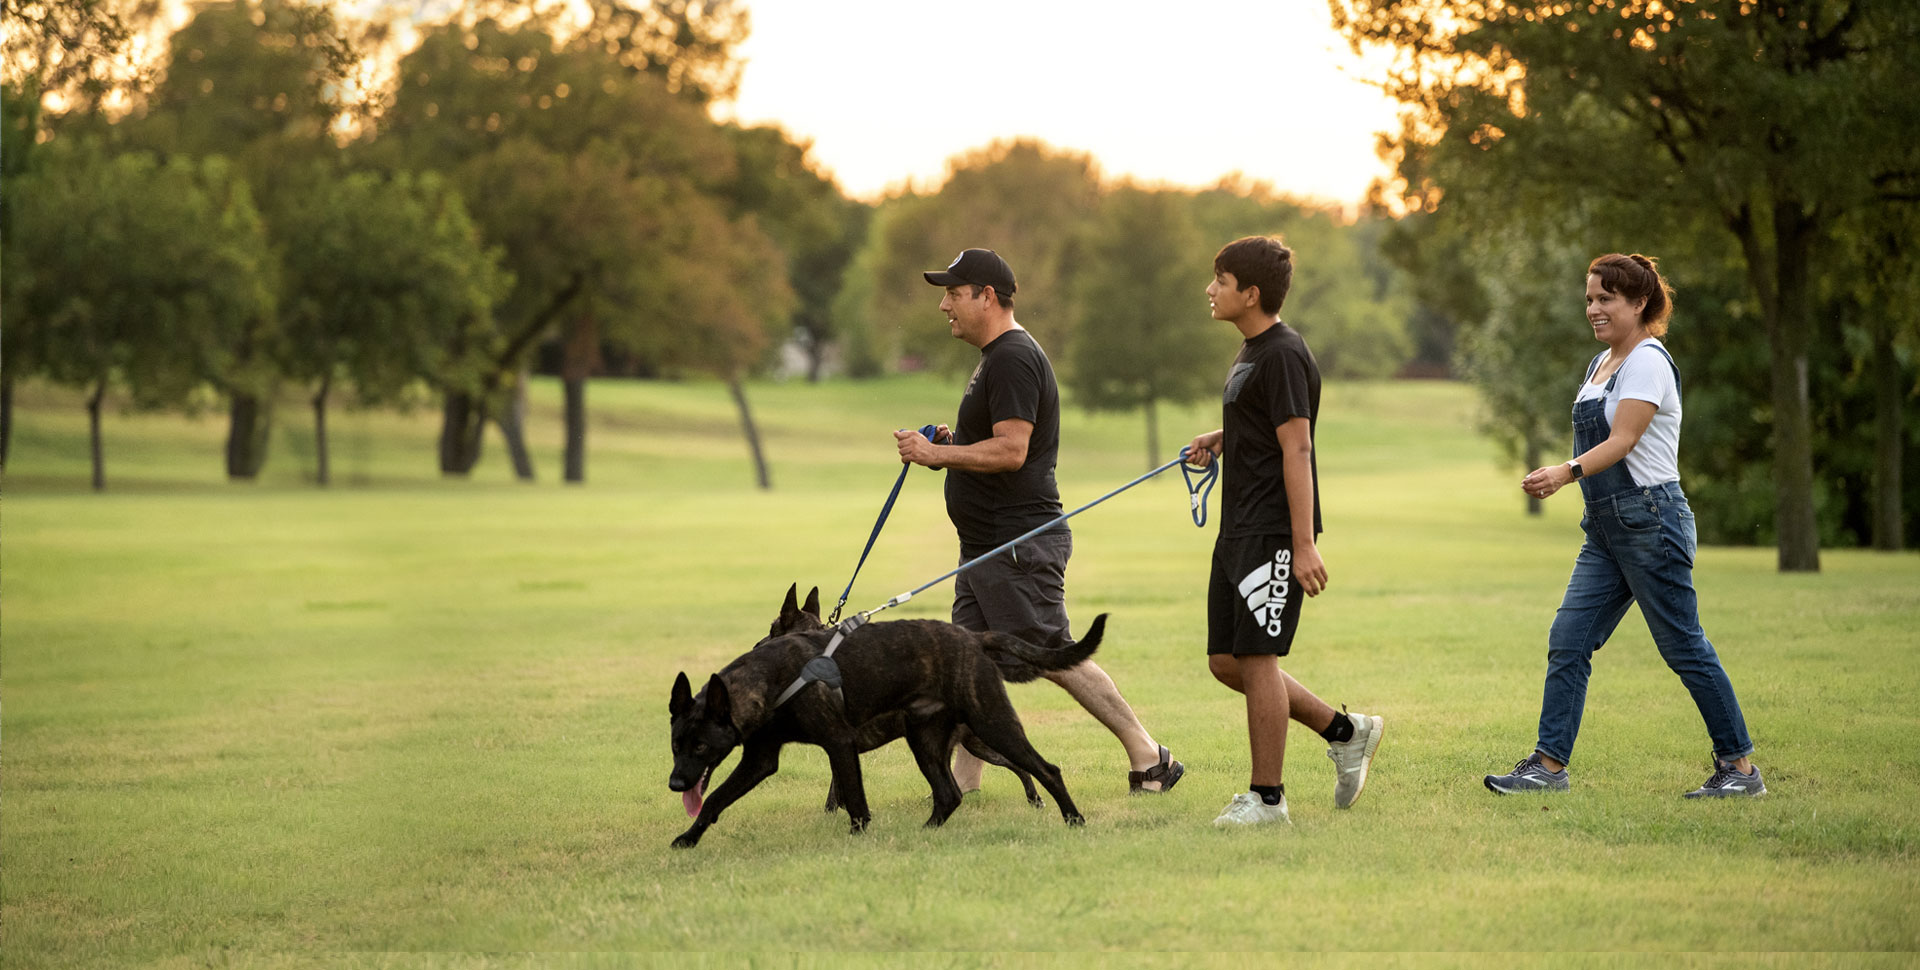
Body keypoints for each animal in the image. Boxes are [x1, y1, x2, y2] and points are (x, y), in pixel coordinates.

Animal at [668, 587, 1105, 845]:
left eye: (701, 746)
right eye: (675, 745)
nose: (675, 784)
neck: (777, 679)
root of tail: (974, 638)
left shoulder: (840, 744)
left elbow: (854, 801)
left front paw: (856, 838)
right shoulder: (762, 758)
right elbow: (716, 798)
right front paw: (688, 838)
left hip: (991, 724)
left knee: (1044, 769)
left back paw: (1073, 819)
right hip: (926, 739)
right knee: (950, 793)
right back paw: (925, 834)